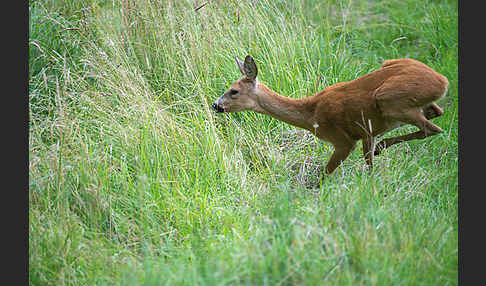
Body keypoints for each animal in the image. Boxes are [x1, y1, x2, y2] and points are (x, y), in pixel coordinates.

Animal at [212, 54, 448, 178]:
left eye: (234, 91)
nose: (216, 105)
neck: (311, 114)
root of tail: (442, 81)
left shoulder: (343, 140)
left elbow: (324, 175)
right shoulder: (367, 132)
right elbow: (369, 165)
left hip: (389, 99)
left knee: (434, 128)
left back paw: (383, 146)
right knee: (436, 113)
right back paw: (382, 146)